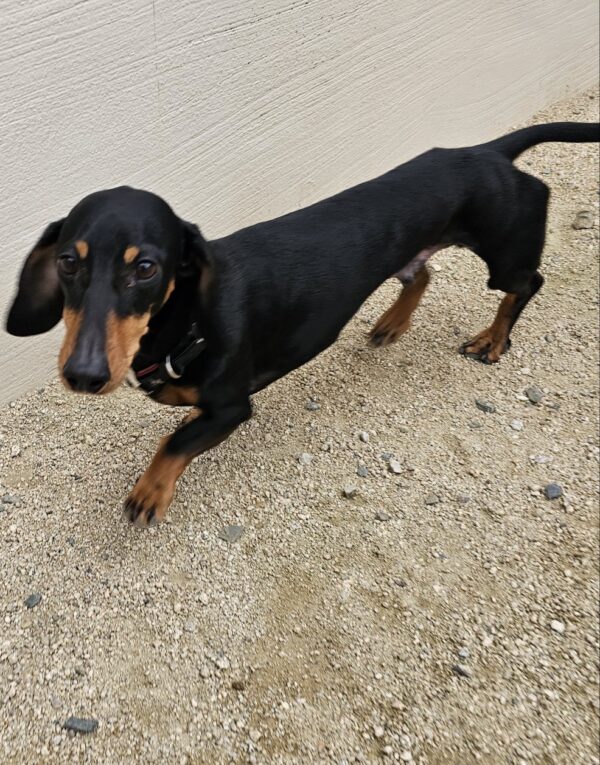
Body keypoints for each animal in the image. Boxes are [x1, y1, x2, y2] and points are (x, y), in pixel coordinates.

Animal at [6, 121, 599, 525]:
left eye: (146, 268)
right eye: (68, 261)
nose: (83, 375)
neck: (183, 320)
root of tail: (487, 151)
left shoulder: (232, 408)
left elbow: (174, 443)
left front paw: (150, 493)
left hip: (504, 254)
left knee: (527, 284)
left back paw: (494, 339)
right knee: (421, 274)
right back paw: (391, 324)